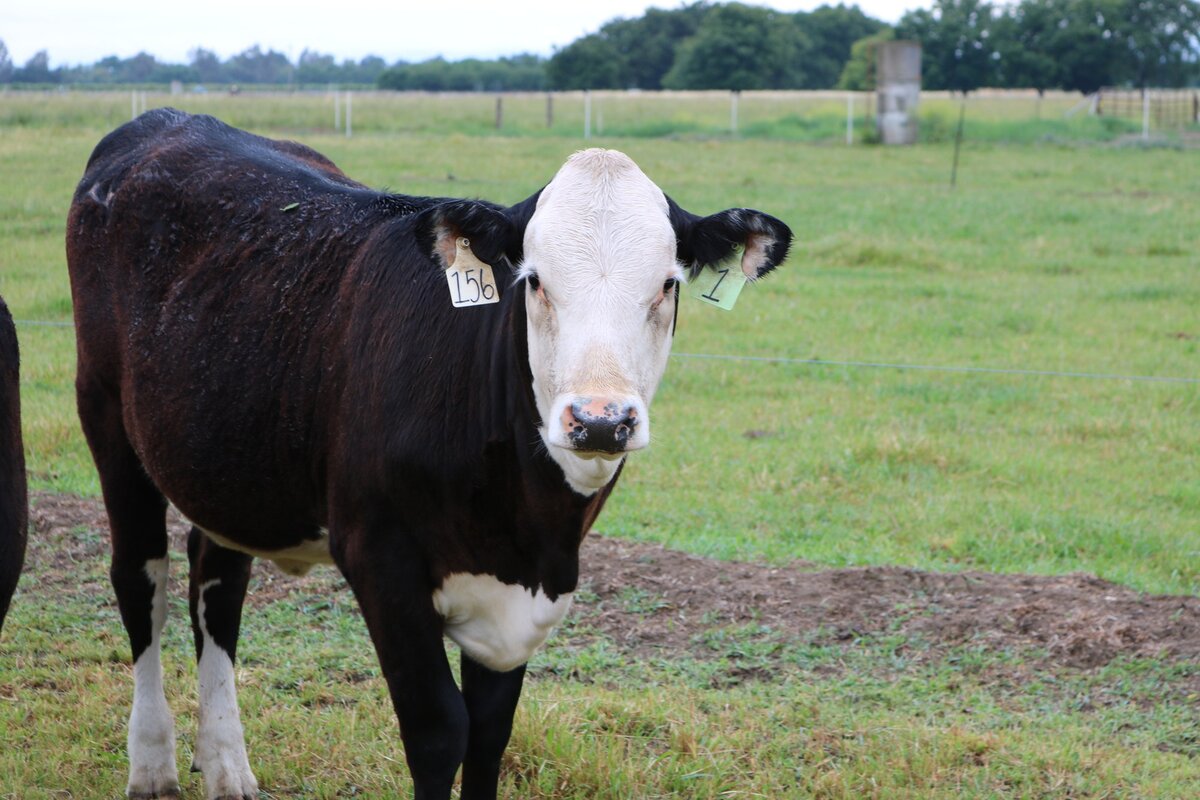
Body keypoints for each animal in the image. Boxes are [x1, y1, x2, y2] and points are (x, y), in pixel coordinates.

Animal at [70, 109, 792, 800]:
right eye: (534, 282)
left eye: (667, 285)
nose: (600, 421)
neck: (531, 525)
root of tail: (166, 121)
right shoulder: (380, 558)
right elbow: (439, 729)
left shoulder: (513, 601)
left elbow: (490, 734)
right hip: (106, 418)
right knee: (141, 579)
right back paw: (152, 765)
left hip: (230, 464)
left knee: (217, 585)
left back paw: (226, 769)